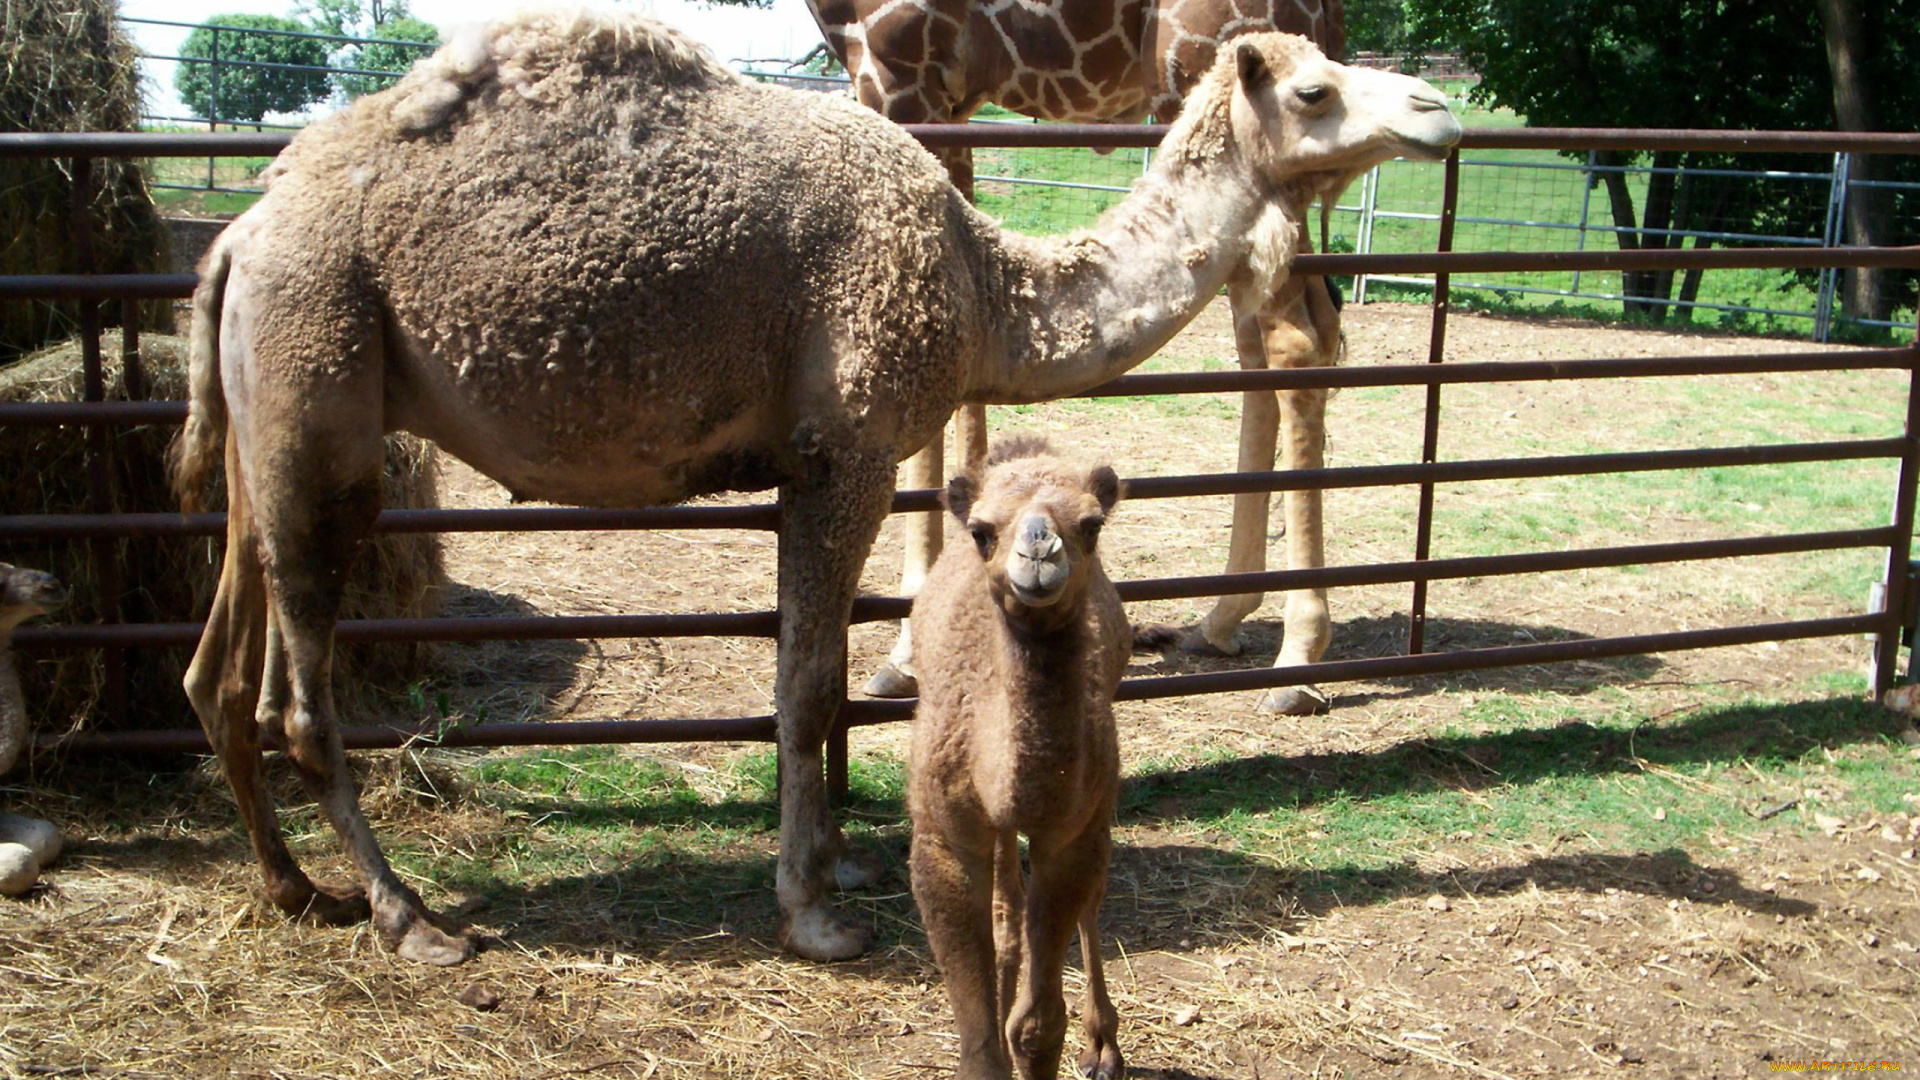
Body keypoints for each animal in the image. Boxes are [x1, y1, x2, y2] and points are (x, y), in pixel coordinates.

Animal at [807, 0, 1357, 713]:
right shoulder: (952, 99)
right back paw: (1222, 618)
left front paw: (906, 647)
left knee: (1295, 340)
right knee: (1263, 337)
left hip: (1207, 77)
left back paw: (1299, 659)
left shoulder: (900, 67)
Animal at [908, 436, 1129, 1080]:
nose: (1038, 548)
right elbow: (980, 1039)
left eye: (1091, 524)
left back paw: (1104, 1047)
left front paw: (1049, 1038)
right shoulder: (945, 836)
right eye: (982, 531)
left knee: (1091, 899)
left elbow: (1040, 1026)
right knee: (1008, 911)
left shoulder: (1071, 833)